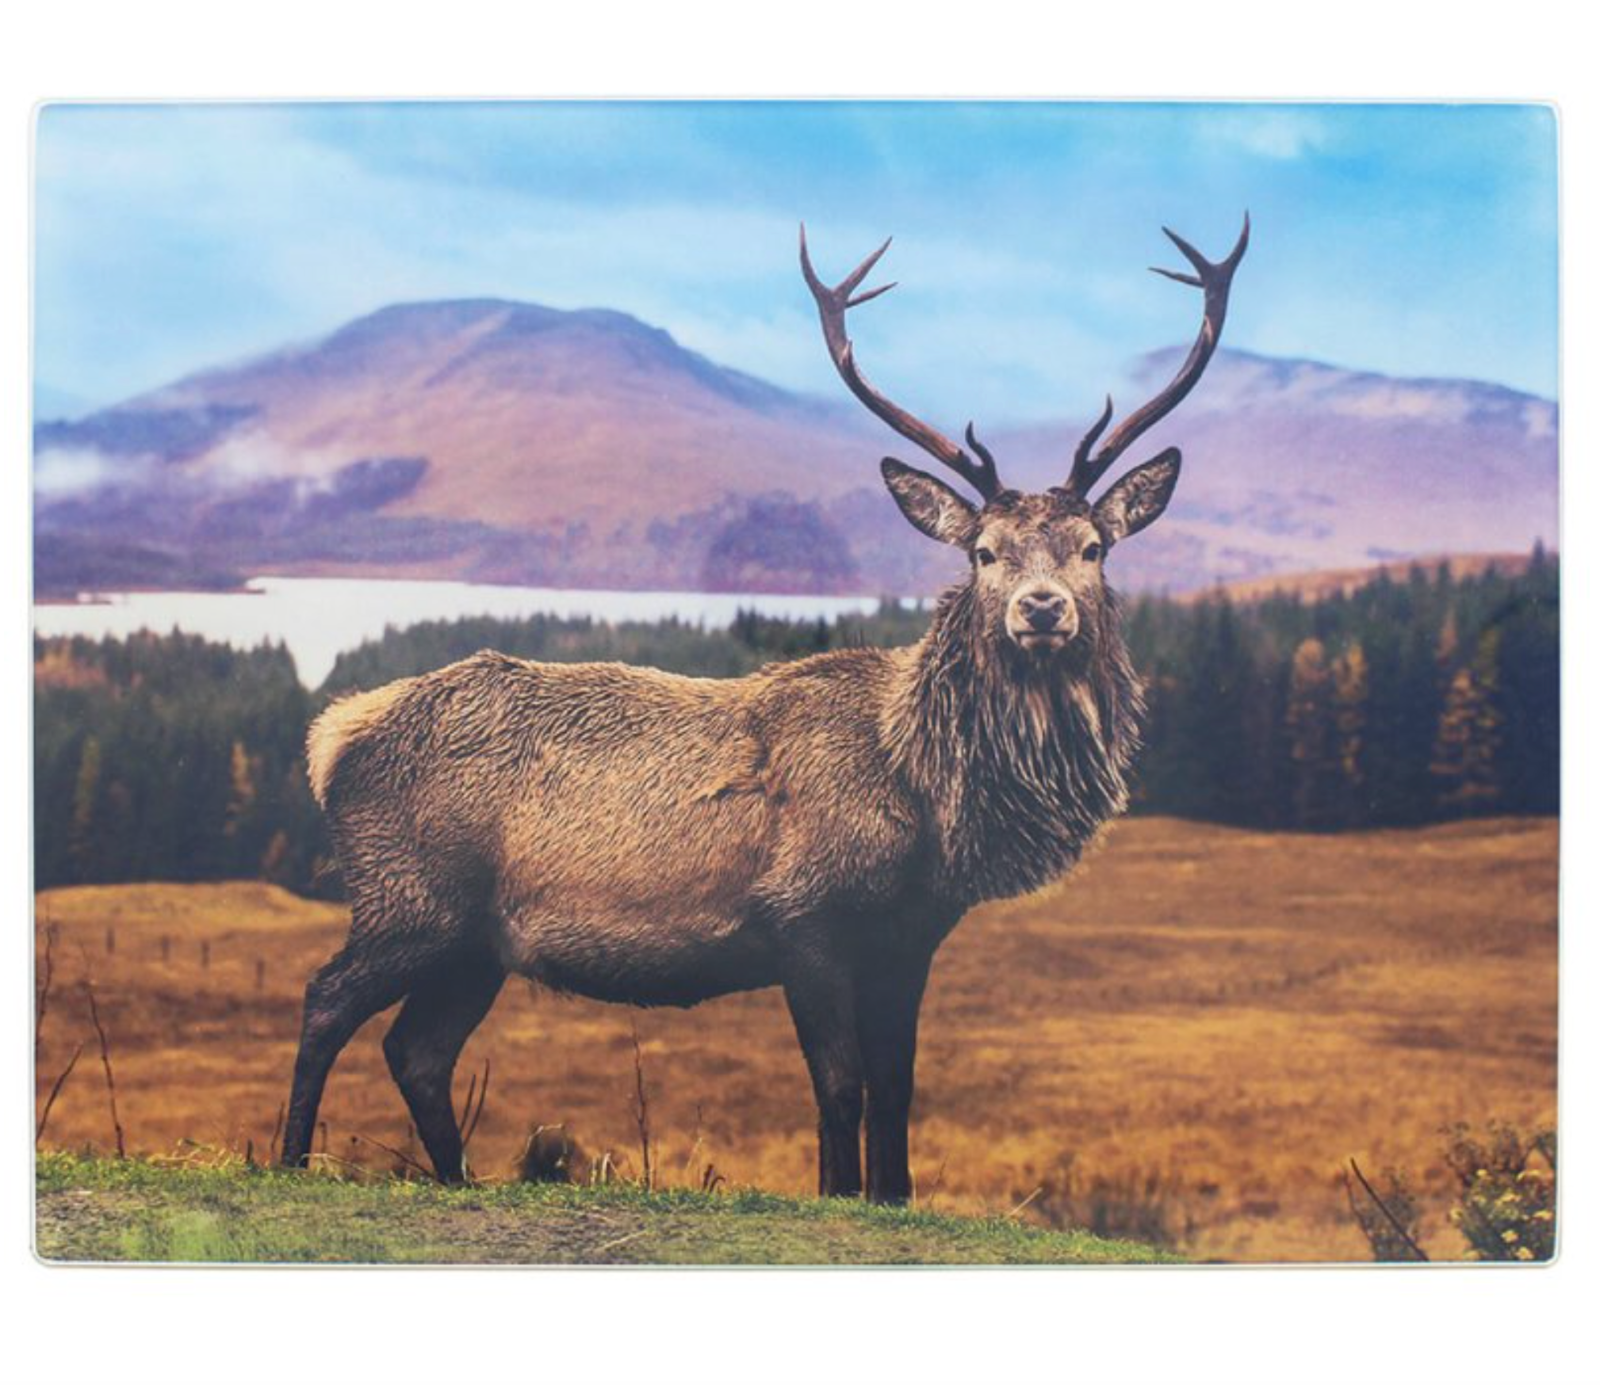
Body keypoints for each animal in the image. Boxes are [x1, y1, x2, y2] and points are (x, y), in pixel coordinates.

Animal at [281, 216, 1249, 1203]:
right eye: (983, 552)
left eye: (1093, 547)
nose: (1042, 607)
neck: (925, 799)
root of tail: (332, 736)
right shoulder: (802, 914)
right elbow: (841, 1084)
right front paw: (838, 1189)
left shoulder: (911, 937)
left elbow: (898, 1086)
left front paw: (891, 1193)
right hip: (411, 895)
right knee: (326, 999)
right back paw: (290, 1157)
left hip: (476, 940)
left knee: (418, 1049)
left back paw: (457, 1178)